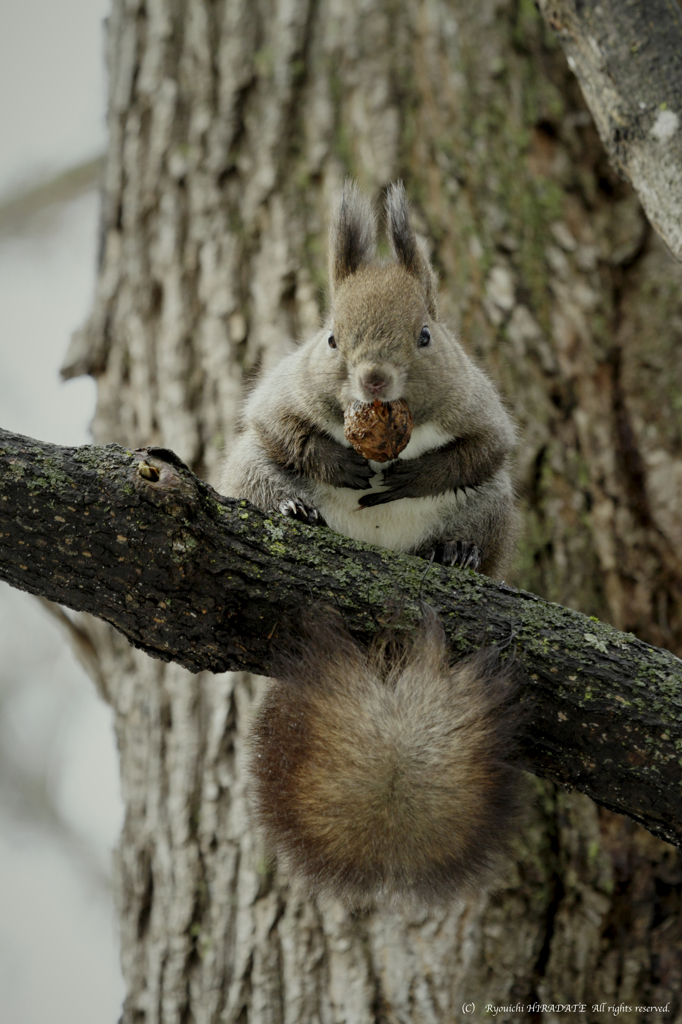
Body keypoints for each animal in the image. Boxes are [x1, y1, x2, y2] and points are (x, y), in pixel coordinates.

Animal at [218, 180, 520, 909]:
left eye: (426, 336)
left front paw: (413, 474)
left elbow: (476, 453)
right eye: (331, 338)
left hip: (491, 509)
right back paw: (297, 510)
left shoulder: (483, 415)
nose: (374, 378)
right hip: (251, 472)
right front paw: (339, 465)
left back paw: (453, 553)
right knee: (267, 480)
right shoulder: (281, 397)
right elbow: (285, 430)